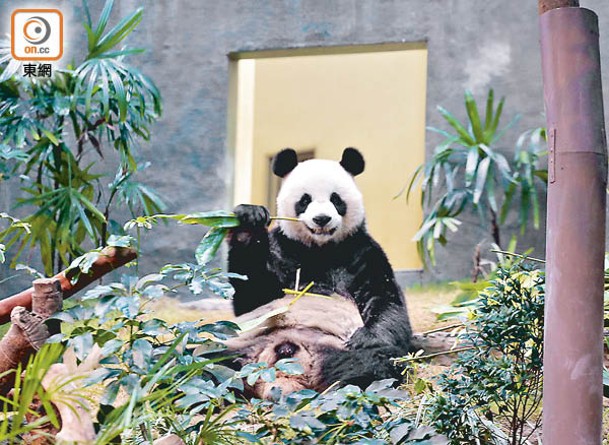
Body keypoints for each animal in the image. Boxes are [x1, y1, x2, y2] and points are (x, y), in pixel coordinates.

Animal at [227, 147, 414, 390]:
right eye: (305, 200)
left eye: (336, 199)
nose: (322, 219)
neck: (320, 250)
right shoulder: (283, 247)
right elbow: (253, 295)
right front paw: (249, 222)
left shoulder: (362, 252)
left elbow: (384, 298)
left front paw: (365, 338)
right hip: (236, 344)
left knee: (377, 361)